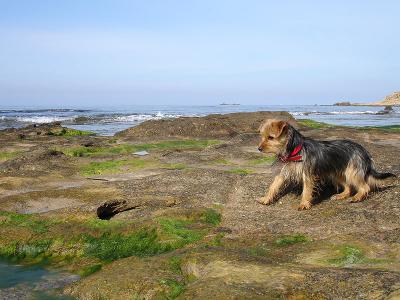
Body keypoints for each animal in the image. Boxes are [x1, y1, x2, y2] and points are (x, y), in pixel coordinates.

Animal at [258, 118, 396, 210]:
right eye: (262, 136)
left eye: (271, 137)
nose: (259, 148)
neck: (293, 150)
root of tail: (364, 151)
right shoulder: (283, 172)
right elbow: (273, 186)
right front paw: (266, 198)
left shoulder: (308, 175)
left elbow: (306, 190)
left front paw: (304, 204)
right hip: (337, 173)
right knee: (348, 187)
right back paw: (341, 195)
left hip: (352, 172)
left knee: (365, 187)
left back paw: (357, 197)